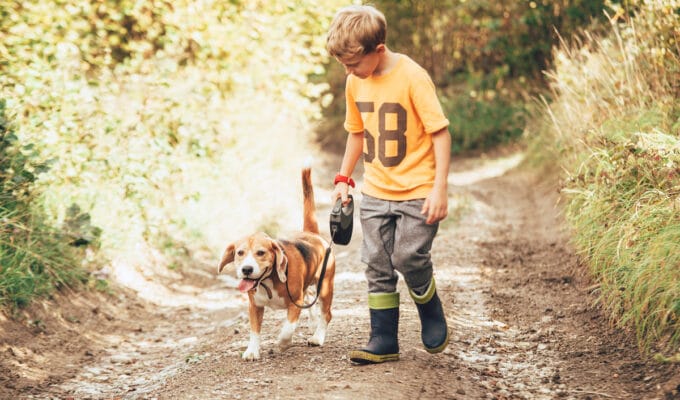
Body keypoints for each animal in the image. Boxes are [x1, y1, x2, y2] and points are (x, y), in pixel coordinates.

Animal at [216, 167, 336, 360]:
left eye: (261, 253)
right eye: (240, 253)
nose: (246, 269)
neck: (267, 280)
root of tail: (312, 234)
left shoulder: (295, 303)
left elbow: (288, 328)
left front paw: (283, 343)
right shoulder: (255, 306)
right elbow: (254, 331)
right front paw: (252, 351)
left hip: (325, 288)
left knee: (327, 314)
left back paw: (317, 337)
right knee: (310, 298)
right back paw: (313, 323)